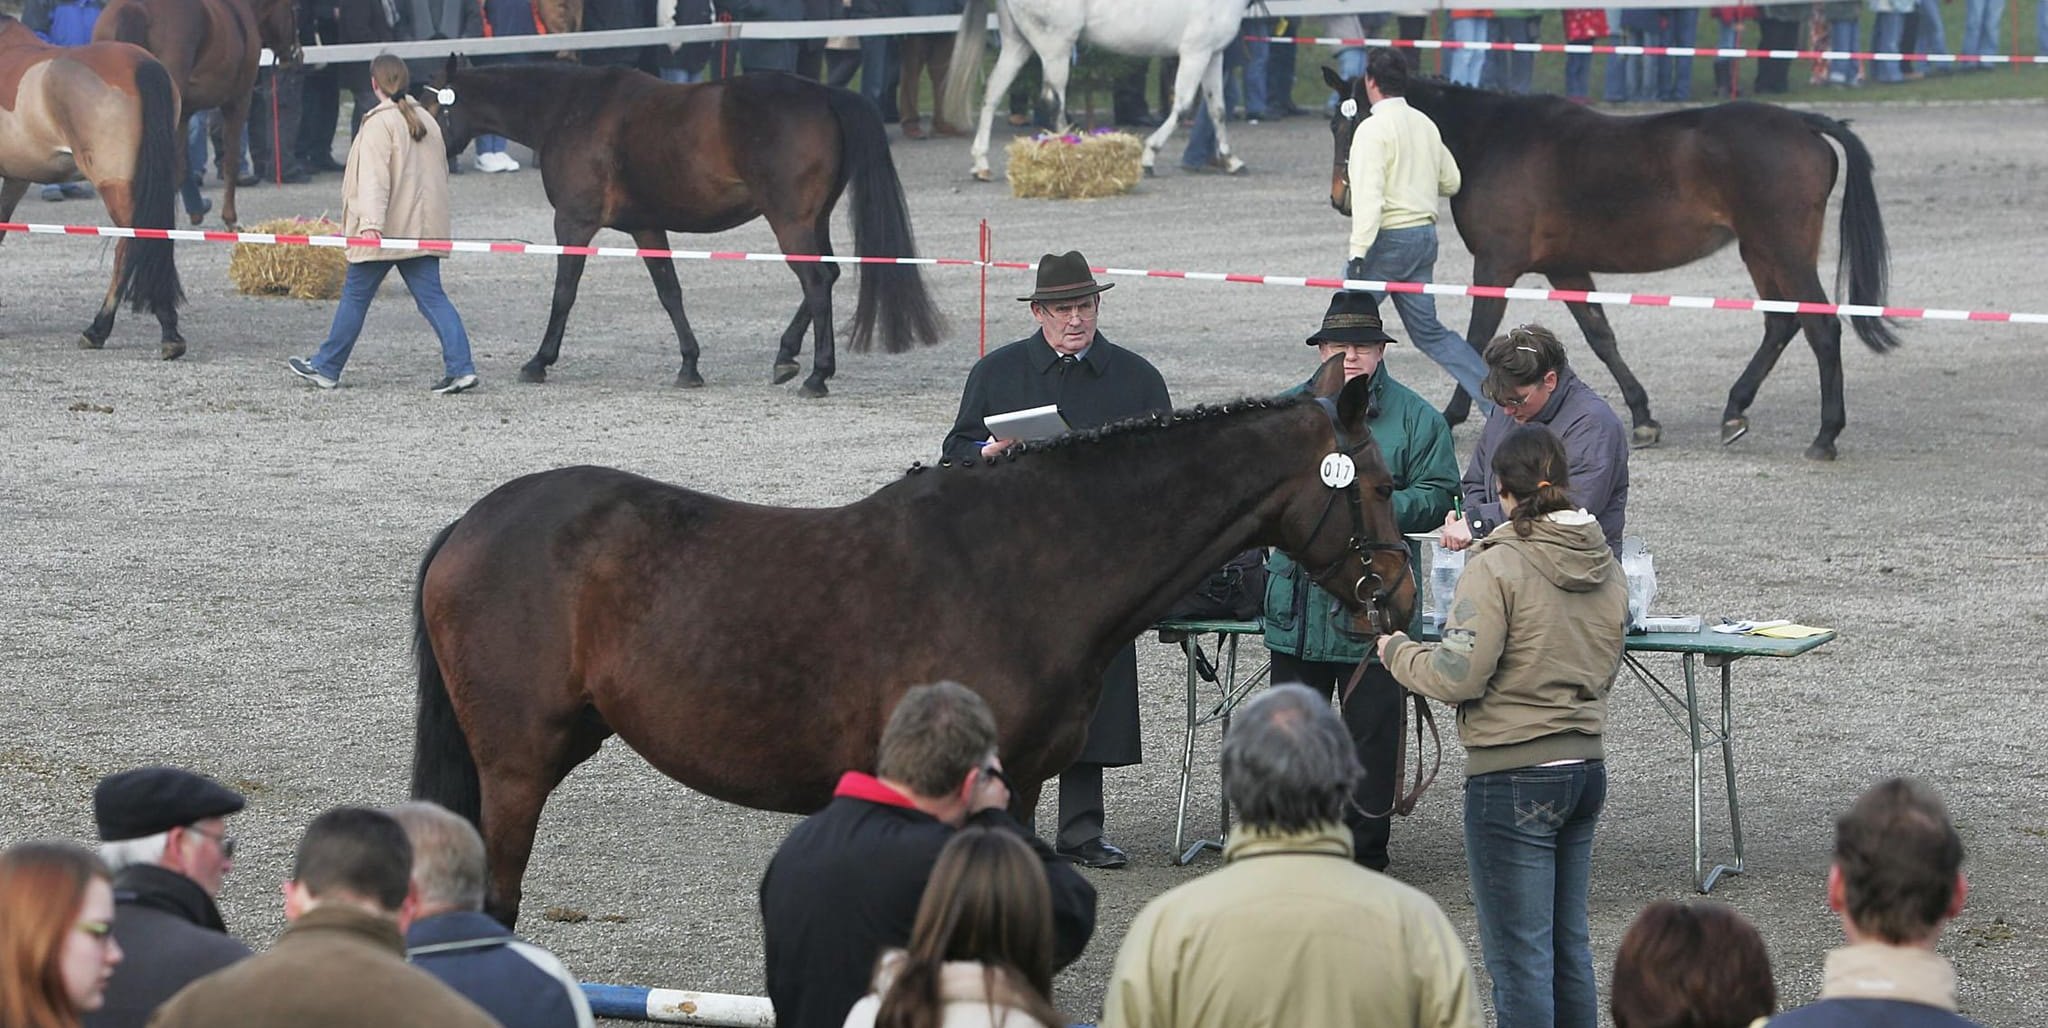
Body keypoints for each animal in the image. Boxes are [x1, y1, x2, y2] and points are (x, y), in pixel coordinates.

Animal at [94, 0, 302, 230]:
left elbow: (183, 166)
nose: (296, 54)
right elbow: (230, 161)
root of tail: (133, 8)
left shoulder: (185, 115)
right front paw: (230, 218)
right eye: (294, 7)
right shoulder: (238, 103)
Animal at [409, 358, 1413, 925]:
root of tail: (472, 523)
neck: (1025, 564)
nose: (1399, 596)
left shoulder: (1021, 783)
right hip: (517, 765)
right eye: (1375, 482)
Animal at [425, 59, 944, 397]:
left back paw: (817, 375)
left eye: (430, 109)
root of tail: (825, 94)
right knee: (828, 276)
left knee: (816, 282)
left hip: (791, 222)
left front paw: (539, 361)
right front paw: (690, 364)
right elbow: (669, 292)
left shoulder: (574, 221)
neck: (569, 108)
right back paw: (785, 356)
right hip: (812, 221)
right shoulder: (647, 227)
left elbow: (563, 293)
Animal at [939, 0, 1251, 182]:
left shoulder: (1213, 54)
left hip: (1018, 44)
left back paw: (981, 164)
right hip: (1056, 47)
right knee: (1052, 101)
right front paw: (1149, 156)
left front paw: (1232, 160)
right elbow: (1183, 106)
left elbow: (1217, 109)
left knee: (992, 93)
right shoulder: (1195, 52)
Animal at [1323, 69, 1901, 461]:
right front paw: (1642, 417)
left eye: (1360, 122)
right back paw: (1736, 410)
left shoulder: (1496, 265)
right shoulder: (1566, 268)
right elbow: (1600, 336)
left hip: (1781, 247)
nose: (1341, 200)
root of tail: (1803, 122)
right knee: (1782, 322)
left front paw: (1454, 414)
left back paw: (1825, 434)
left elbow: (1478, 336)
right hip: (1759, 250)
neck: (1494, 139)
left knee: (1821, 328)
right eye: (1334, 121)